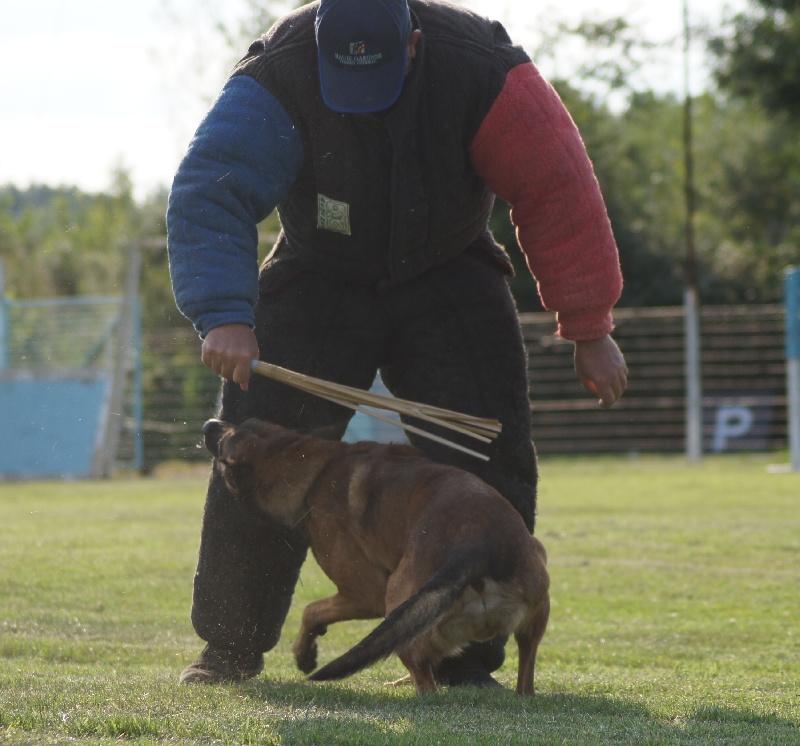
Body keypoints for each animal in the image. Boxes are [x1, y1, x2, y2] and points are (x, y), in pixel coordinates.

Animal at [202, 416, 552, 696]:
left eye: (223, 451)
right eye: (245, 421)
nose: (209, 423)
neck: (315, 467)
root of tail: (475, 548)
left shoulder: (363, 595)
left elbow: (311, 611)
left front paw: (304, 654)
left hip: (395, 598)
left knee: (426, 683)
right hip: (535, 605)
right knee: (524, 682)